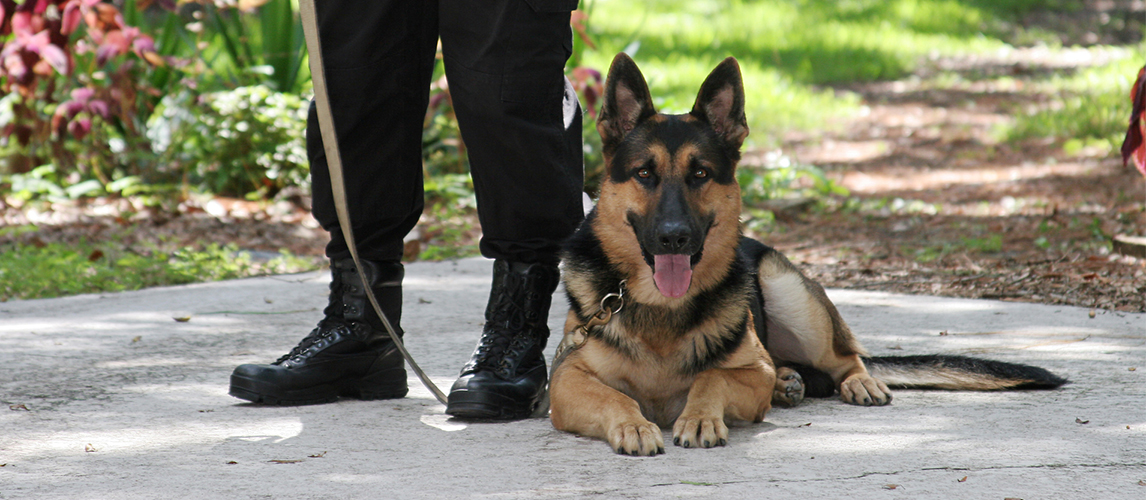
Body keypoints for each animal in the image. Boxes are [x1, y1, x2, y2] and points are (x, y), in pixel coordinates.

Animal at [545, 54, 1063, 456]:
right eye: (644, 174)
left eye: (700, 174)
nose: (675, 238)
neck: (660, 309)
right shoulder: (566, 380)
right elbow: (616, 398)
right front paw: (634, 424)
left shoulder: (750, 370)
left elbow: (711, 379)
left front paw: (700, 417)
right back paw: (788, 382)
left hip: (787, 288)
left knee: (845, 357)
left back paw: (854, 381)